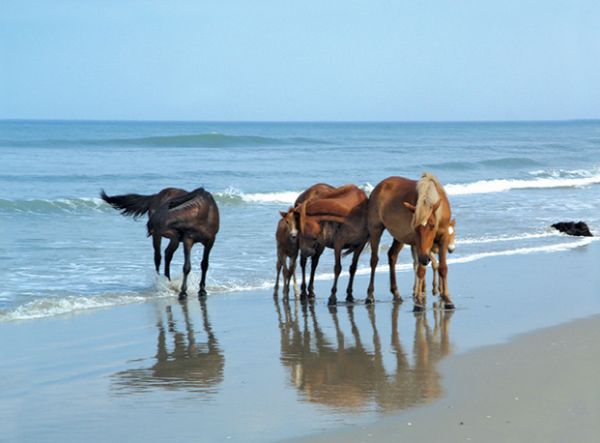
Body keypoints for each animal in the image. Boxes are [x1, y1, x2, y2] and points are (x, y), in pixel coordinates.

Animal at [366, 172, 454, 310]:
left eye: (432, 225)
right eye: (415, 227)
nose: (424, 259)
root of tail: (378, 187)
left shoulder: (443, 239)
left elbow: (443, 268)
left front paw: (447, 299)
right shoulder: (419, 246)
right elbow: (421, 270)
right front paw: (419, 303)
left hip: (399, 237)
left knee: (392, 256)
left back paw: (396, 293)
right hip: (375, 229)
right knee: (374, 260)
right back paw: (370, 296)